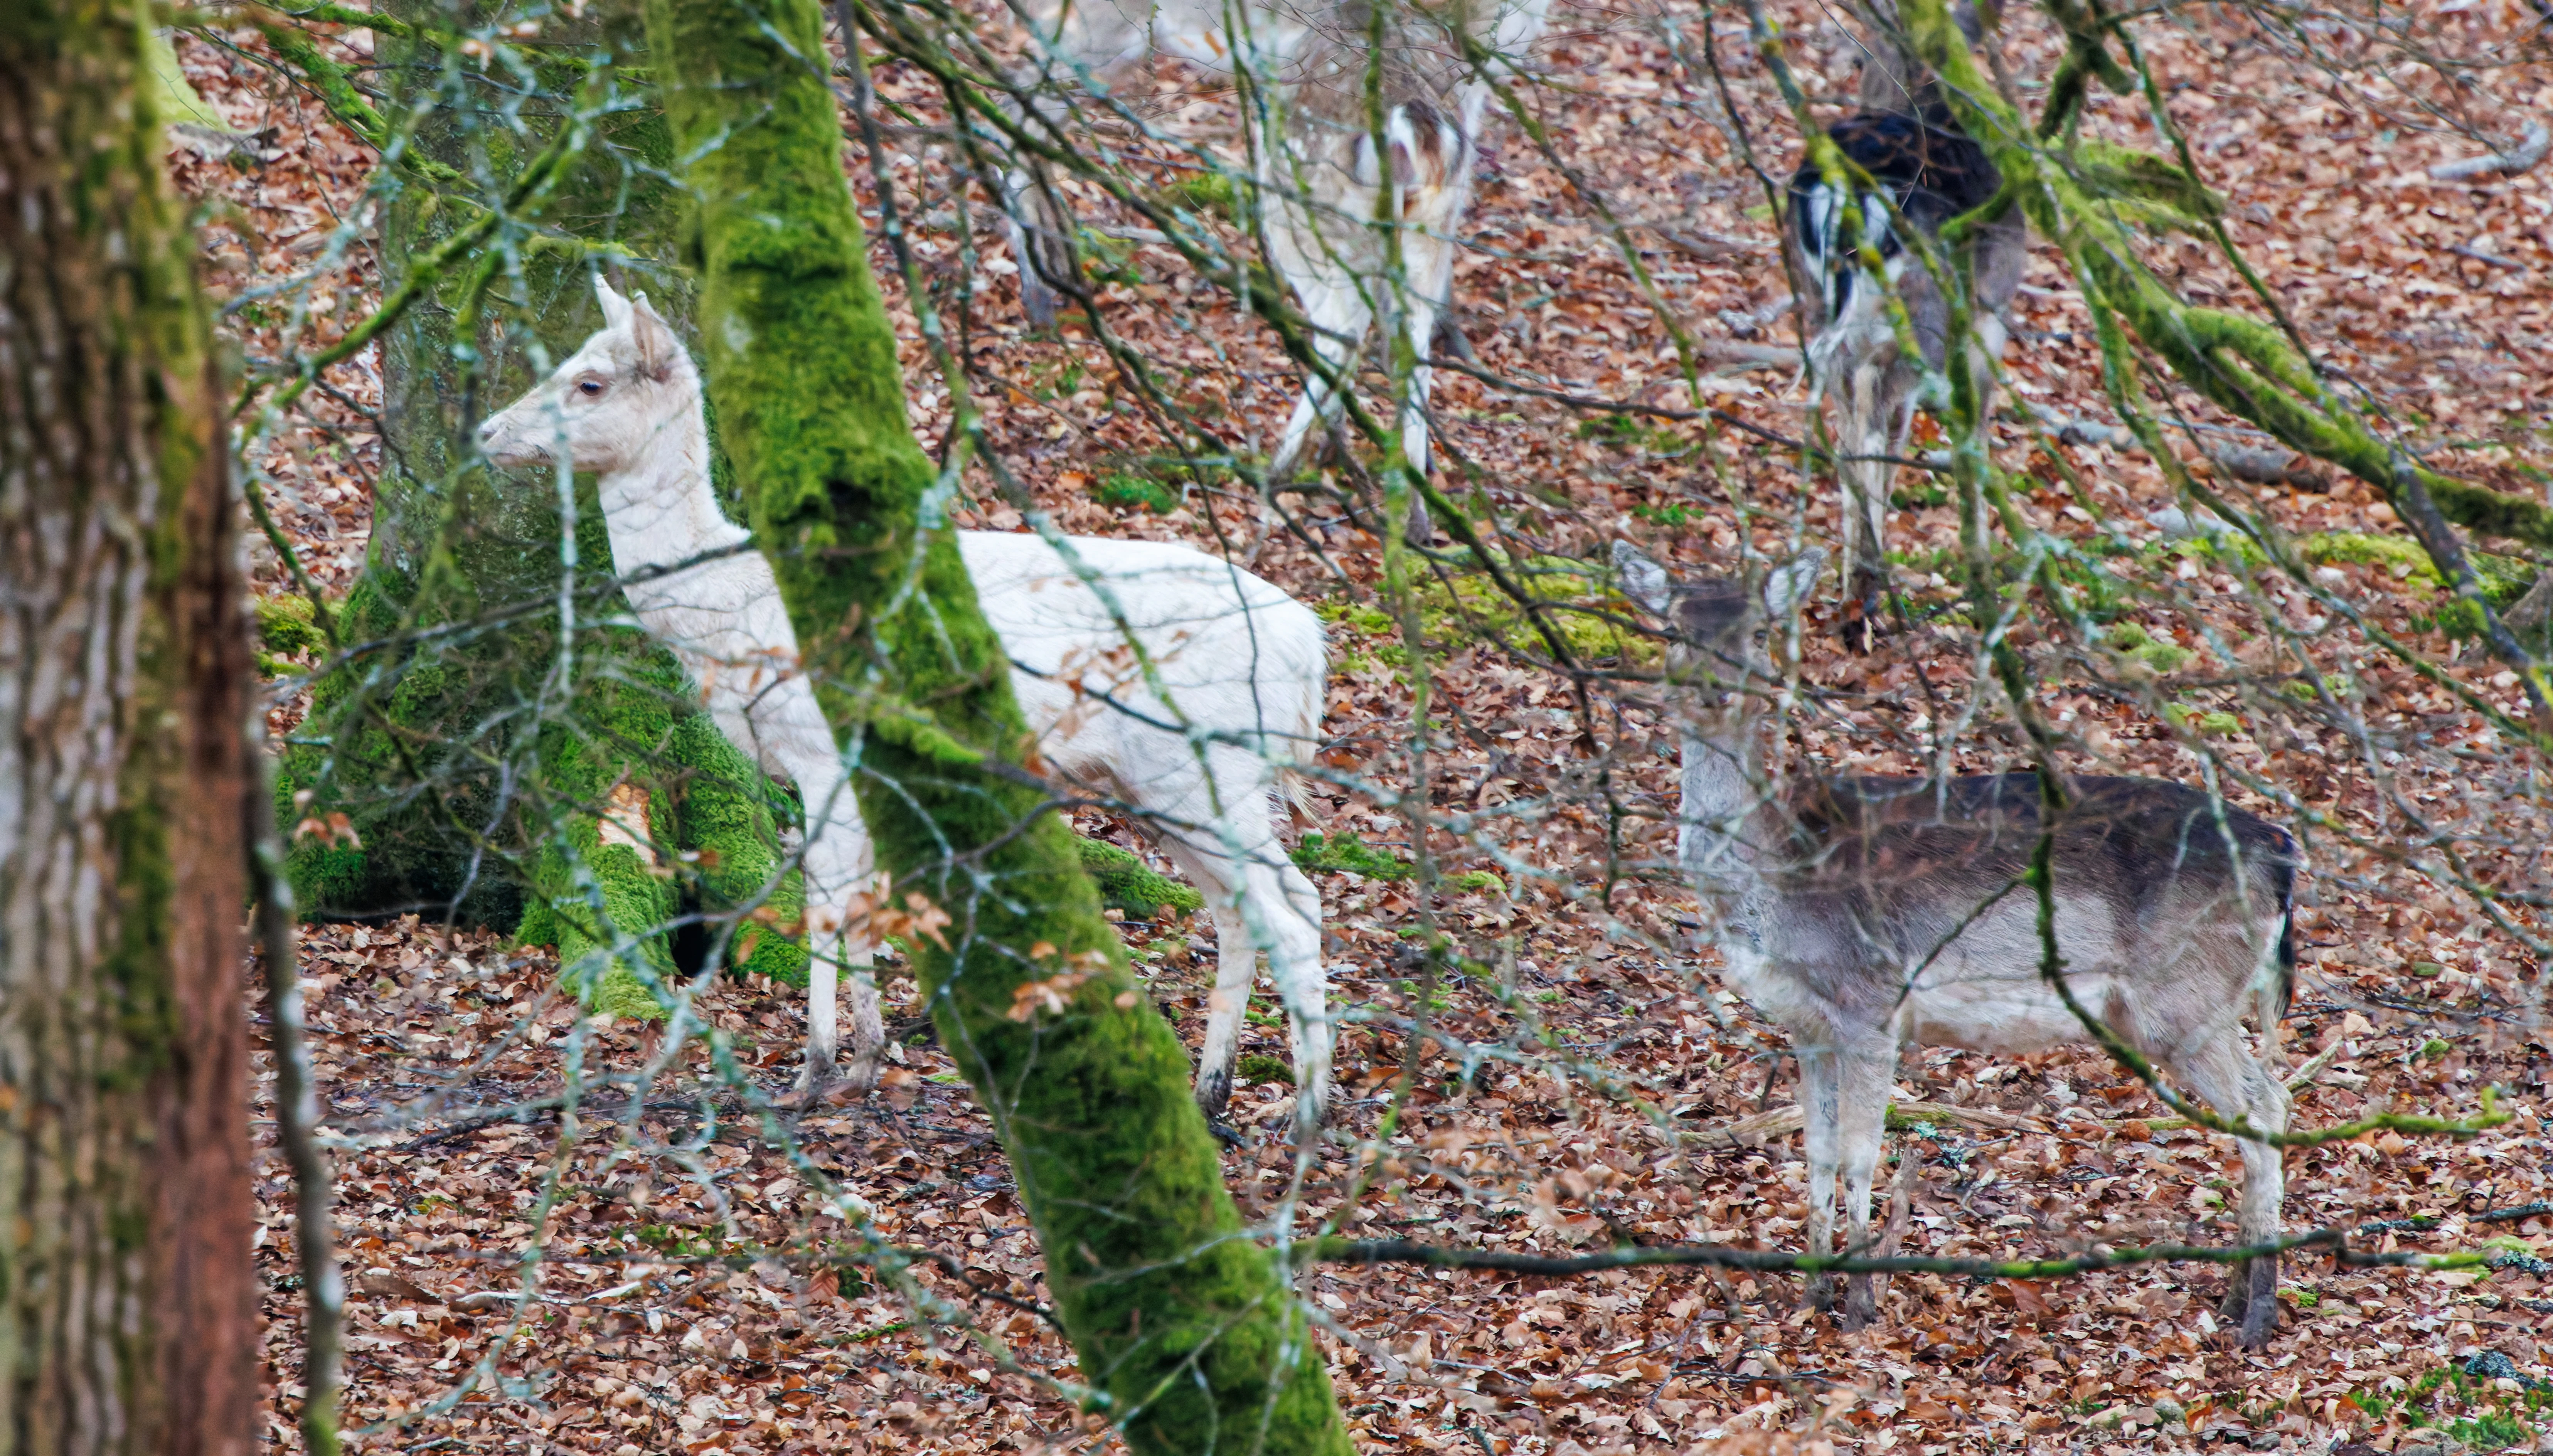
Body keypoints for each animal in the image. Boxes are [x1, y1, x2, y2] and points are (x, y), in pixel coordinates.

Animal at [479, 277, 1336, 1124]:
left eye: (590, 381)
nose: (488, 432)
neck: (733, 608)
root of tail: (1309, 649)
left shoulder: (821, 748)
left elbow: (824, 904)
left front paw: (812, 1072)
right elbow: (861, 906)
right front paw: (863, 1063)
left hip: (1204, 765)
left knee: (1293, 905)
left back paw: (1305, 1110)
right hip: (1160, 779)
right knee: (1240, 910)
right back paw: (1213, 1089)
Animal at [1615, 540, 2299, 1347]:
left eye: (1758, 632)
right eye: (1671, 629)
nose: (1714, 690)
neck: (1779, 882)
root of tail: (2279, 855)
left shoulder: (1871, 1003)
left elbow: (1859, 1155)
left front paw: (1859, 1305)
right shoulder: (1805, 1023)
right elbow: (1813, 1154)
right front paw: (1811, 1292)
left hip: (2184, 998)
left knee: (2266, 1107)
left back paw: (2257, 1314)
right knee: (2266, 1103)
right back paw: (2234, 1295)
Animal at [1787, 1, 2024, 648]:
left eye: (1862, 48)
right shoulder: (1986, 321)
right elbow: (1971, 436)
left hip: (1812, 298)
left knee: (1848, 420)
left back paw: (1853, 589)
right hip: (1921, 314)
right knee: (1872, 415)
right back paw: (1868, 596)